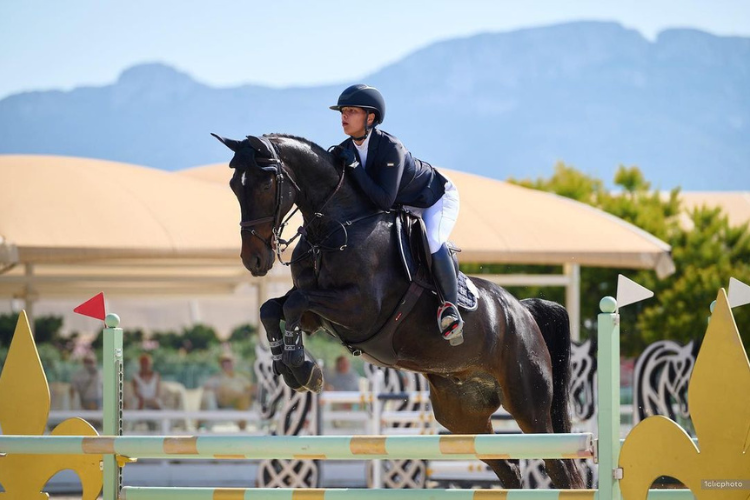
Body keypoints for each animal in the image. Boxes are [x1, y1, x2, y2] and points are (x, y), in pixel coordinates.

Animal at [213, 133, 588, 488]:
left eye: (265, 184)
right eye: (234, 186)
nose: (254, 260)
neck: (335, 227)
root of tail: (523, 312)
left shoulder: (359, 310)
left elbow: (294, 302)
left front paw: (302, 368)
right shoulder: (316, 318)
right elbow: (273, 308)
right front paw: (290, 363)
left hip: (528, 405)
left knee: (561, 467)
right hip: (462, 414)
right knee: (509, 468)